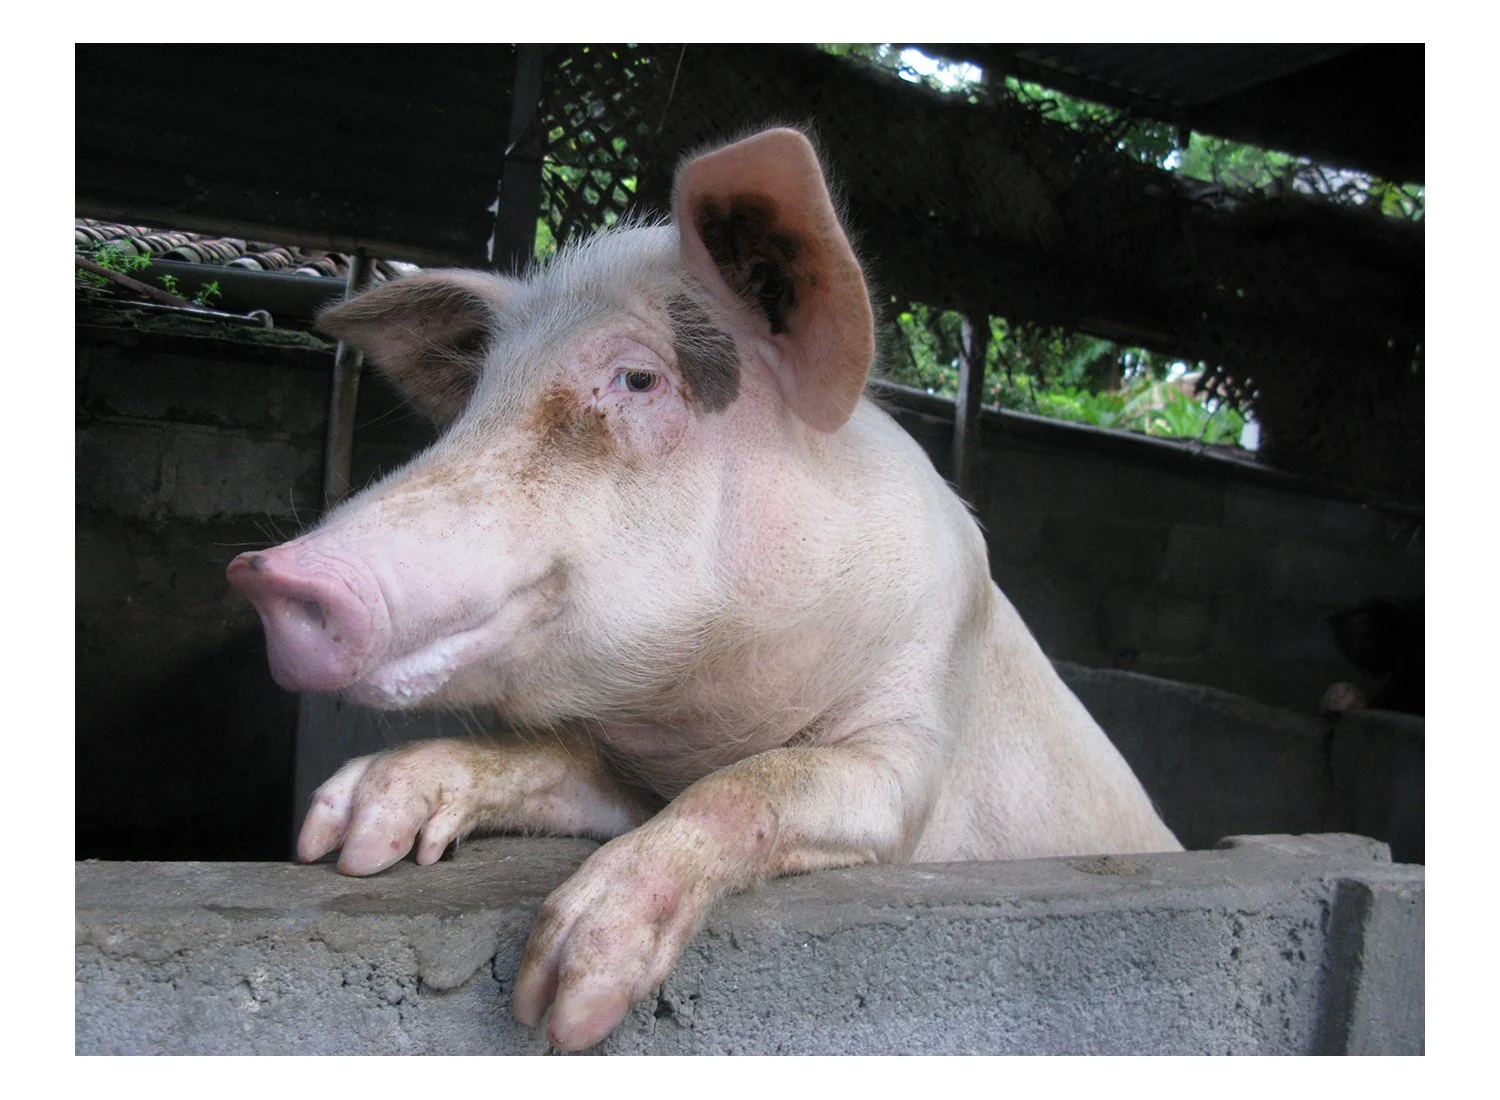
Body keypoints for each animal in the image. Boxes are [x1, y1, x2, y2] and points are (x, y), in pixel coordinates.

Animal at [227, 127, 1180, 1051]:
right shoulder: (631, 771)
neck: (706, 712)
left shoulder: (913, 741)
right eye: (477, 402)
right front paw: (345, 836)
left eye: (638, 379)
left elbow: (762, 781)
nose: (268, 573)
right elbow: (555, 756)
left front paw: (562, 999)